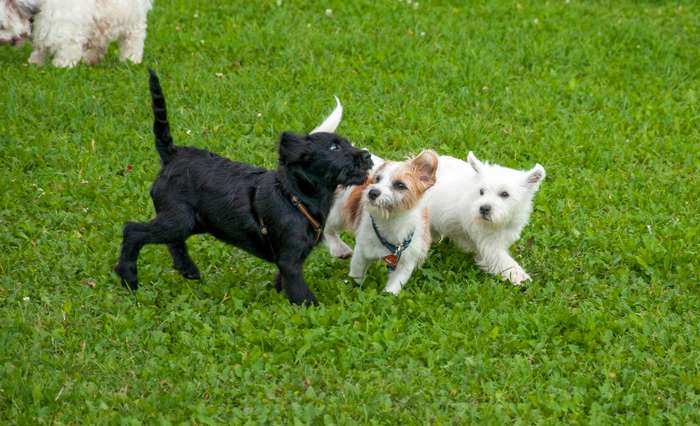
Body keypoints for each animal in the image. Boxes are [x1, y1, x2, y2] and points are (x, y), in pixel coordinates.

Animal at [0, 0, 152, 67]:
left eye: (1, 26)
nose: (1, 41)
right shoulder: (44, 28)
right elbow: (40, 48)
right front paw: (35, 62)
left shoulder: (67, 33)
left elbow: (66, 51)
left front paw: (60, 66)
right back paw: (90, 59)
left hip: (132, 21)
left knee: (133, 40)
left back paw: (130, 59)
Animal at [115, 70, 372, 302]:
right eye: (334, 148)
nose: (367, 155)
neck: (295, 194)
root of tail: (171, 155)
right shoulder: (290, 260)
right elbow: (301, 292)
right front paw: (312, 309)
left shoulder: (289, 259)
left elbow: (284, 282)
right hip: (179, 218)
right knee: (133, 230)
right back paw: (128, 277)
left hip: (192, 221)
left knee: (172, 241)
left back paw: (187, 269)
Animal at [324, 151, 438, 294]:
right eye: (377, 179)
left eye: (400, 185)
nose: (372, 192)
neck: (391, 222)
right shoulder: (361, 252)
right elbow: (356, 276)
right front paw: (355, 289)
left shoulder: (406, 262)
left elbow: (393, 289)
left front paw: (386, 296)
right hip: (338, 213)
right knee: (326, 229)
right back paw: (339, 248)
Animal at [426, 153, 548, 286]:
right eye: (481, 191)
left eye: (505, 194)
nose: (483, 208)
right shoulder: (489, 242)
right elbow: (503, 261)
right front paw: (519, 276)